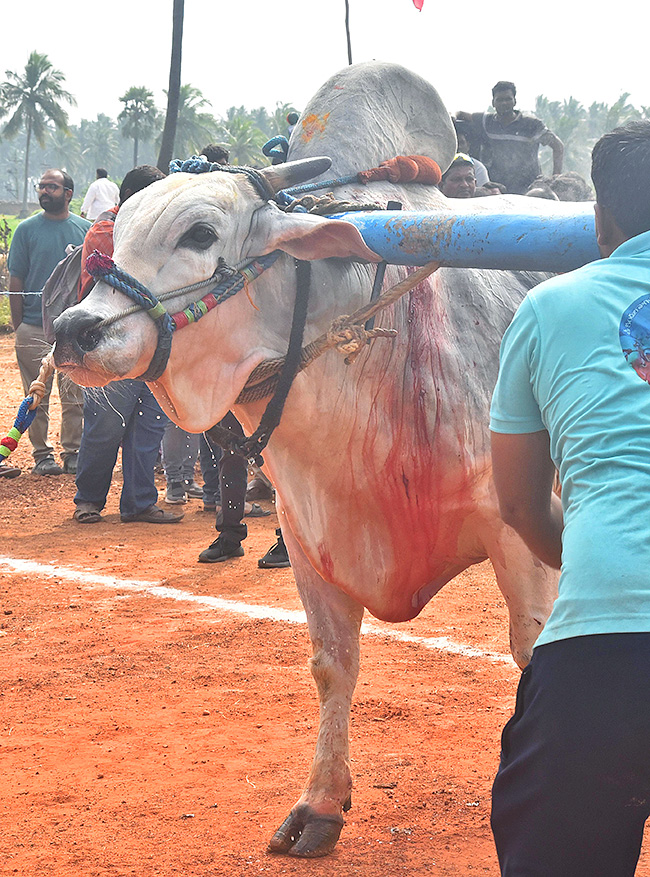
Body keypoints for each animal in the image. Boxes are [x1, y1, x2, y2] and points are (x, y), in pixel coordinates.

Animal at [54, 65, 556, 860]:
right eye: (117, 232)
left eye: (200, 233)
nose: (74, 330)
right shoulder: (309, 534)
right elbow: (331, 664)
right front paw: (321, 804)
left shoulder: (522, 535)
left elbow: (535, 652)